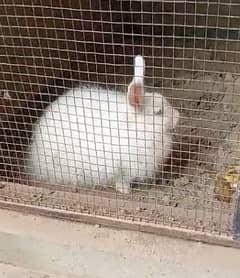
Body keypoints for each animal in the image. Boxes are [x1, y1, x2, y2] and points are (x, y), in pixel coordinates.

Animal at [27, 54, 179, 193]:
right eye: (158, 112)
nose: (178, 116)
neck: (136, 128)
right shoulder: (120, 165)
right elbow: (120, 179)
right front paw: (124, 190)